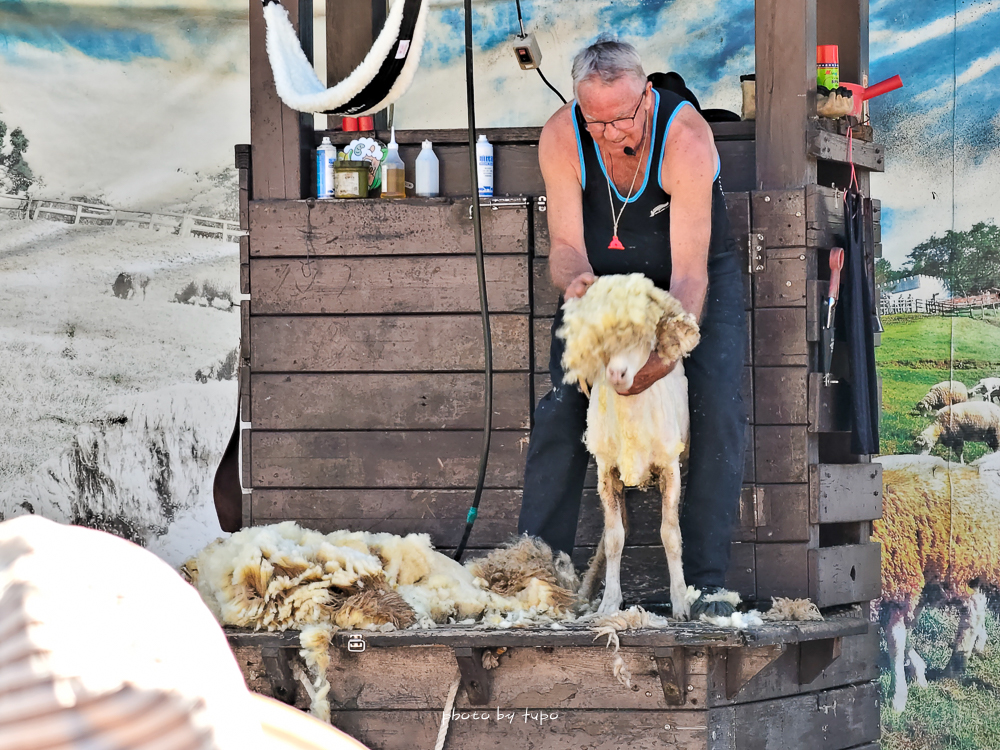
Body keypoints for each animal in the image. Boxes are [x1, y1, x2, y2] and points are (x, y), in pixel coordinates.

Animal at [556, 274, 704, 620]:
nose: (616, 373)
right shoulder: (606, 473)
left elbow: (670, 535)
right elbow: (614, 538)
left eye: (643, 336)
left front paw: (680, 604)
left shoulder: (670, 468)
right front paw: (609, 603)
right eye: (600, 341)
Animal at [872, 458, 996, 716]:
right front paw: (916, 674)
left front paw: (897, 697)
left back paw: (955, 666)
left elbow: (895, 639)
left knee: (974, 607)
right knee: (974, 604)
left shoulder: (897, 582)